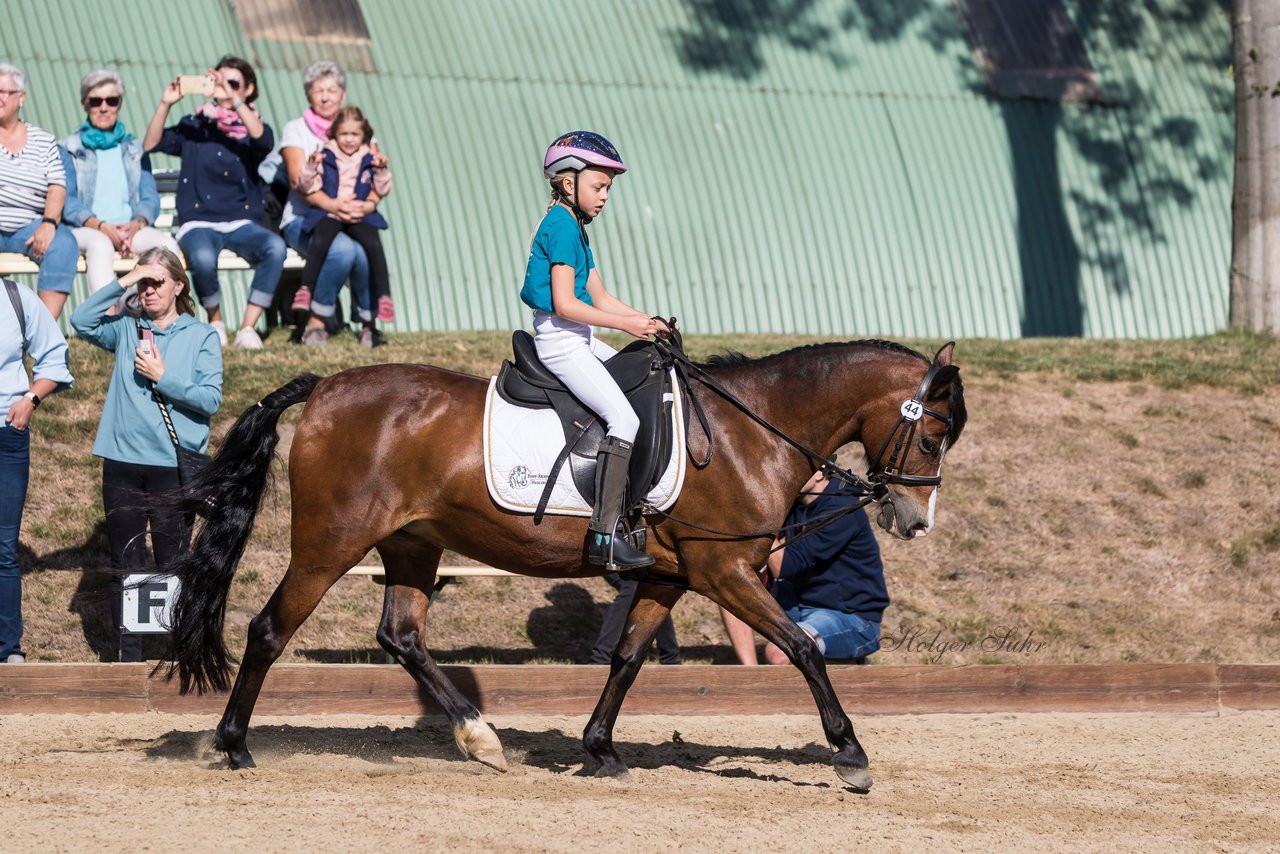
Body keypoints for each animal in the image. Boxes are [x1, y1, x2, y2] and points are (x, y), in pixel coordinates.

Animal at [167, 338, 967, 793]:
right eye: (932, 434)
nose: (916, 522)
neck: (750, 432)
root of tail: (327, 386)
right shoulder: (725, 574)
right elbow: (804, 648)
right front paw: (850, 753)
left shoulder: (668, 576)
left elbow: (628, 659)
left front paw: (599, 749)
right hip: (330, 543)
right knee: (269, 630)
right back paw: (234, 746)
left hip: (413, 544)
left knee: (401, 636)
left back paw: (481, 739)